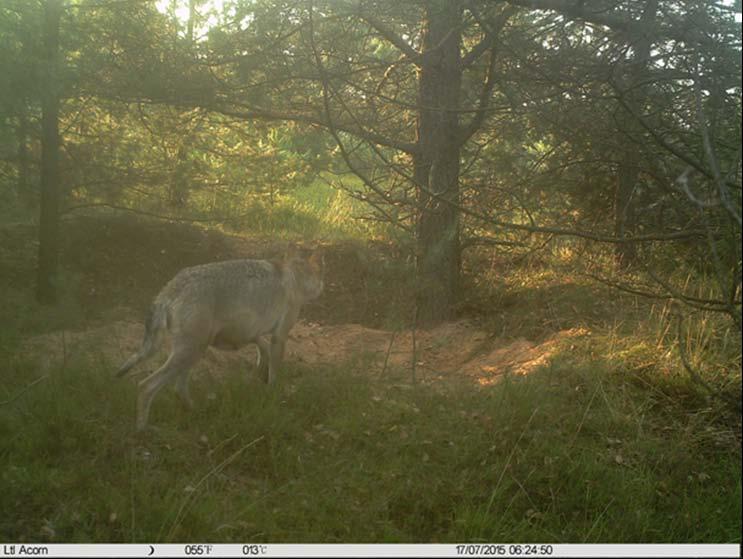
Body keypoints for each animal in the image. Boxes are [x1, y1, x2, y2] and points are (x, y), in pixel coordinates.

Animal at [117, 250, 324, 434]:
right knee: (146, 386)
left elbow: (262, 348)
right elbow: (274, 374)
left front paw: (258, 374)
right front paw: (273, 394)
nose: (323, 286)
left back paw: (197, 411)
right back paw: (143, 429)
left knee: (178, 388)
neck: (296, 276)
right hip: (190, 353)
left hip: (192, 353)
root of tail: (170, 289)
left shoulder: (252, 332)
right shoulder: (280, 336)